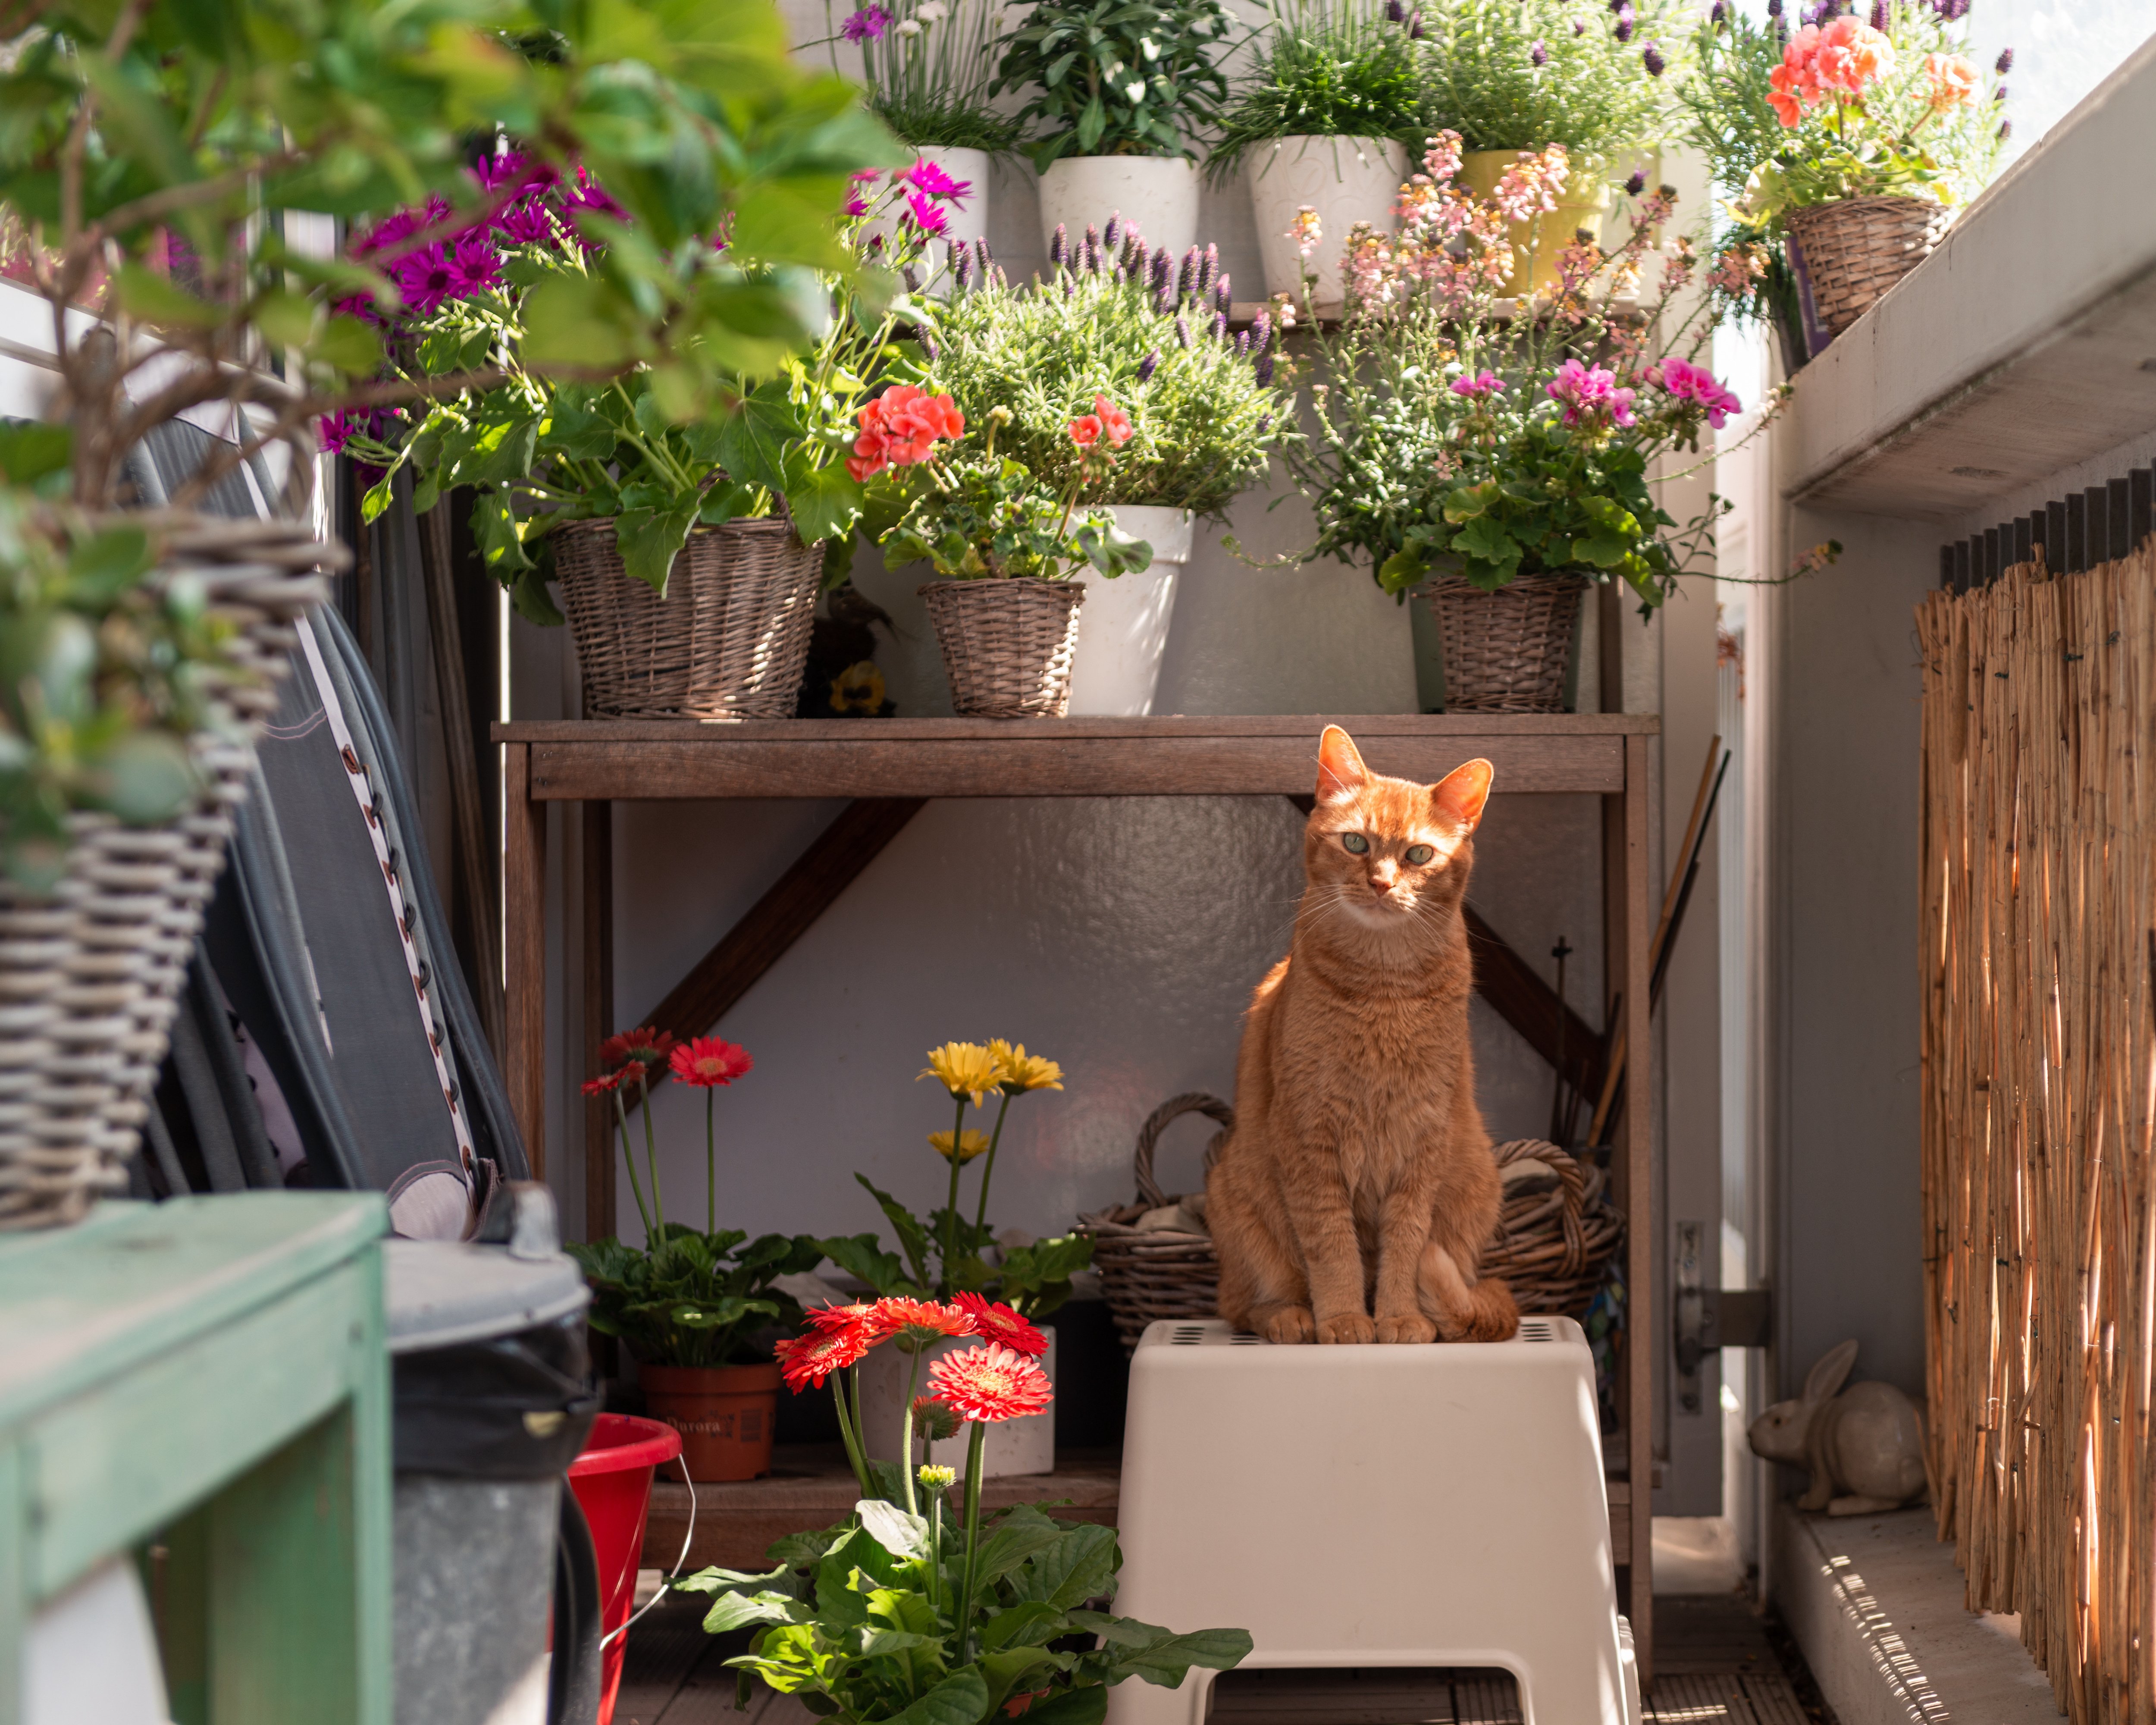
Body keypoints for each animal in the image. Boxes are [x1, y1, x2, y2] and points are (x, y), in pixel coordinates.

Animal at [1216, 729, 1518, 1346]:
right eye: (1355, 843)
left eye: (1418, 854)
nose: (1380, 882)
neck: (1384, 990)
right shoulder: (1309, 1138)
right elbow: (1332, 1249)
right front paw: (1344, 1319)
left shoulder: (1421, 1140)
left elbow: (1405, 1246)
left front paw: (1398, 1317)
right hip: (1236, 1195)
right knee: (1238, 1303)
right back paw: (1291, 1317)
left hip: (1478, 1181)